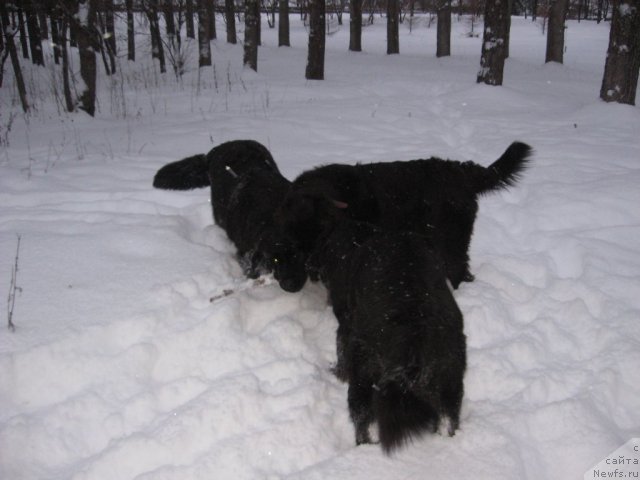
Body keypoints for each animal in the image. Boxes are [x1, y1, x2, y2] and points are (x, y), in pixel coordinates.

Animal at [276, 142, 528, 288]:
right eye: (294, 243)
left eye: (319, 237)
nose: (288, 283)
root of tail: (460, 171)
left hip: (450, 239)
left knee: (459, 270)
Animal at [306, 219, 464, 452]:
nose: (310, 265)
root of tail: (414, 341)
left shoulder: (347, 326)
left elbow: (341, 351)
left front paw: (337, 371)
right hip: (450, 384)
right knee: (448, 421)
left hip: (365, 375)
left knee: (364, 423)